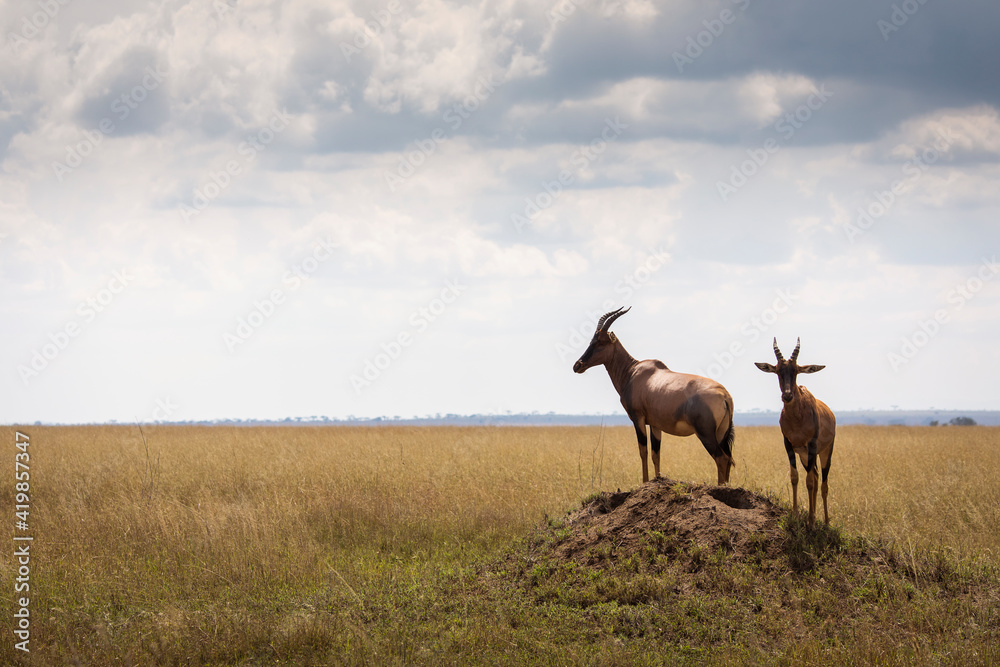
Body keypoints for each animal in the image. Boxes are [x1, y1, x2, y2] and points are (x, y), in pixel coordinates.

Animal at [572, 307, 736, 485]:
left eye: (600, 342)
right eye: (592, 340)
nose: (577, 365)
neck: (633, 371)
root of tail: (724, 396)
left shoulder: (638, 418)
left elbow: (642, 451)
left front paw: (645, 481)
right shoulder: (655, 424)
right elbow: (656, 454)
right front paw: (658, 480)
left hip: (705, 434)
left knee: (721, 458)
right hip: (721, 433)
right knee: (729, 458)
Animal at [755, 338, 836, 529]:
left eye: (797, 370)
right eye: (778, 371)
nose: (787, 396)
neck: (797, 417)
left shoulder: (812, 445)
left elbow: (810, 482)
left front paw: (811, 521)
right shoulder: (789, 444)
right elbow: (795, 477)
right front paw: (796, 514)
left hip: (825, 452)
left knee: (823, 483)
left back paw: (826, 522)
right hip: (805, 456)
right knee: (815, 476)